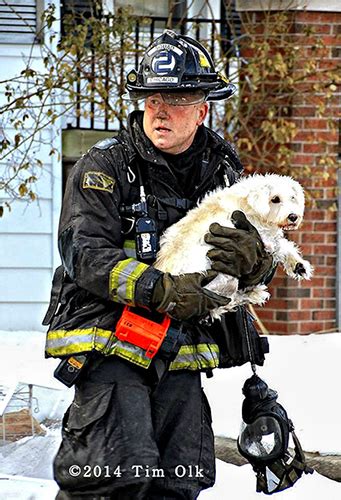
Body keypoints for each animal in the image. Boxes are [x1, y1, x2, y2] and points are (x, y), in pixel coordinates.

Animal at [154, 174, 310, 318]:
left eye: (292, 198)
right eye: (275, 199)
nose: (293, 217)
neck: (251, 206)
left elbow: (284, 245)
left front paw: (299, 265)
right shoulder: (262, 239)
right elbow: (279, 245)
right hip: (224, 280)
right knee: (221, 305)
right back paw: (254, 294)